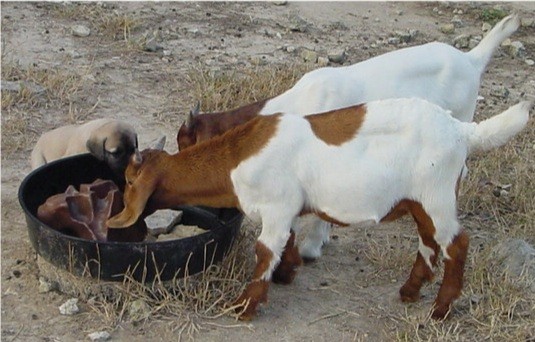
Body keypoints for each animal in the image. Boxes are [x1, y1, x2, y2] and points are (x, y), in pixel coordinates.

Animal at [109, 98, 532, 320]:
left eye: (129, 182)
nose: (117, 214)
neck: (237, 156)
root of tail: (462, 131)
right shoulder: (287, 209)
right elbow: (286, 242)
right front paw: (288, 273)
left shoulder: (277, 205)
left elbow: (265, 250)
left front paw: (245, 305)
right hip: (421, 200)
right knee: (429, 241)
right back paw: (410, 292)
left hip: (437, 194)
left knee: (456, 243)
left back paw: (441, 309)